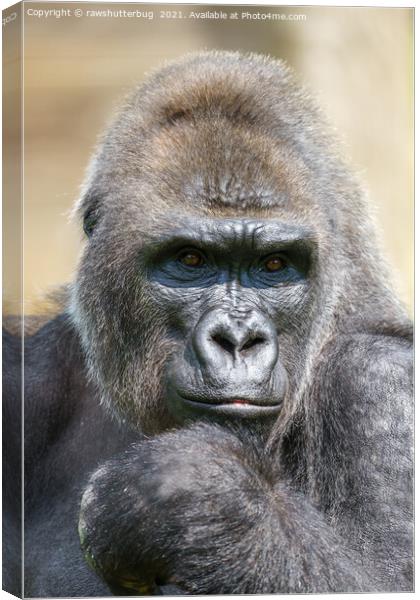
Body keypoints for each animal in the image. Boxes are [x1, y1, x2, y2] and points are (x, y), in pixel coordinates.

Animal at [1, 51, 412, 596]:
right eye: (191, 259)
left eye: (274, 265)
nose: (238, 340)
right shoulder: (20, 385)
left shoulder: (384, 381)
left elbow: (384, 574)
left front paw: (185, 490)